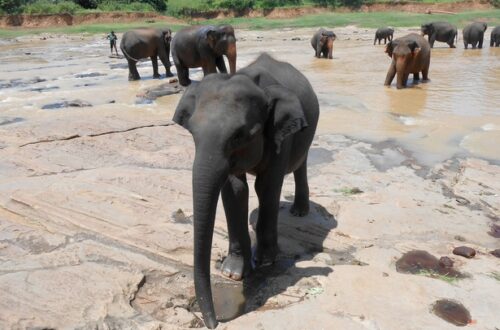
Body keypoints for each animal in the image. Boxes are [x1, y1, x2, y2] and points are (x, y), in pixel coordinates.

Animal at [173, 52, 320, 328]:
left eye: (239, 136)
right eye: (193, 133)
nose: (214, 323)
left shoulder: (280, 133)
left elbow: (267, 185)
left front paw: (265, 261)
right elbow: (235, 189)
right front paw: (232, 272)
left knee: (300, 163)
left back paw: (299, 211)